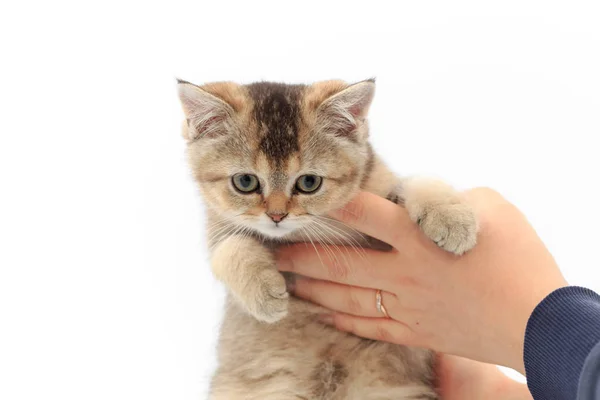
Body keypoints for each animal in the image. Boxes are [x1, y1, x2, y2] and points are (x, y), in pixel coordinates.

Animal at [176, 79, 476, 400]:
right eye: (245, 182)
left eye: (309, 183)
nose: (277, 215)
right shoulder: (218, 232)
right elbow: (227, 250)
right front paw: (265, 296)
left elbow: (417, 182)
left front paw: (452, 218)